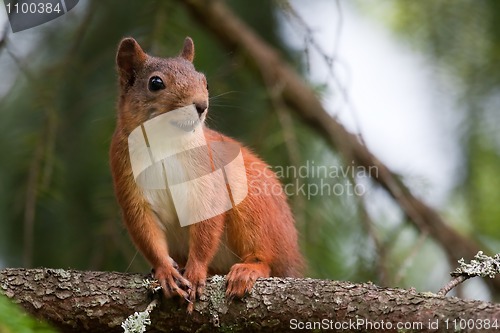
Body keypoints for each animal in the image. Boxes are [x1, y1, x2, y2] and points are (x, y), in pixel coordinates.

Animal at [111, 37, 302, 312]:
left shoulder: (206, 176)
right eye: (155, 83)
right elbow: (145, 230)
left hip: (255, 209)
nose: (201, 106)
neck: (166, 141)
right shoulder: (128, 180)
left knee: (266, 258)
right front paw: (165, 271)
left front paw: (195, 272)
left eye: (206, 82)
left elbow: (206, 224)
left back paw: (248, 269)